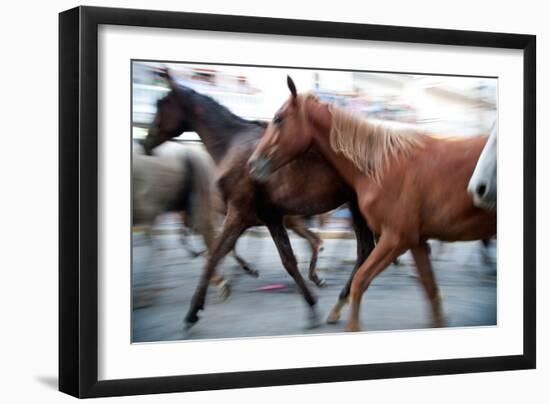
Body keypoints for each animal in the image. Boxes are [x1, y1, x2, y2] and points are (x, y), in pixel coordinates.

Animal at [141, 68, 380, 332]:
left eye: (161, 104)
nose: (145, 142)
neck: (232, 144)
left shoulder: (239, 214)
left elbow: (216, 254)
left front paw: (194, 311)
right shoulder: (270, 216)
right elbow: (285, 260)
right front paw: (311, 304)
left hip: (357, 208)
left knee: (364, 250)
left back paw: (341, 300)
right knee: (362, 250)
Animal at [248, 76, 498, 332]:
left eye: (278, 119)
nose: (252, 164)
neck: (381, 167)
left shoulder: (395, 238)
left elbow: (360, 281)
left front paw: (351, 325)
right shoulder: (415, 241)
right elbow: (430, 290)